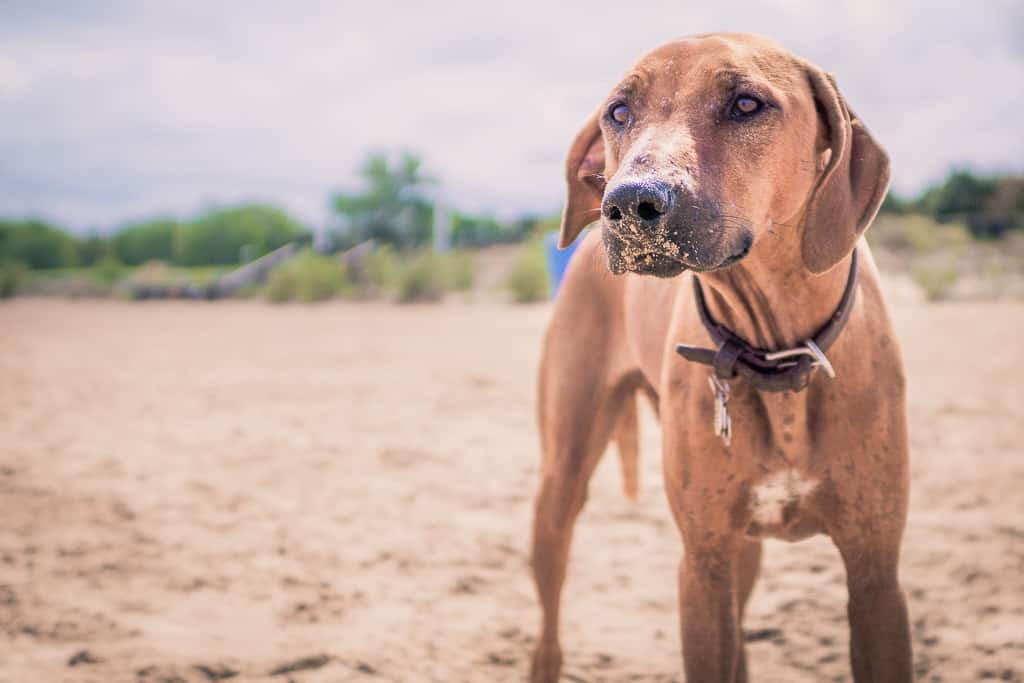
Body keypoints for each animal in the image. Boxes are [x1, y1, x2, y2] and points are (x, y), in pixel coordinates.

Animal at [532, 33, 909, 683]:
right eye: (619, 112)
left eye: (746, 104)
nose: (627, 203)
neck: (774, 350)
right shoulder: (702, 566)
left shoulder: (876, 572)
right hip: (562, 477)